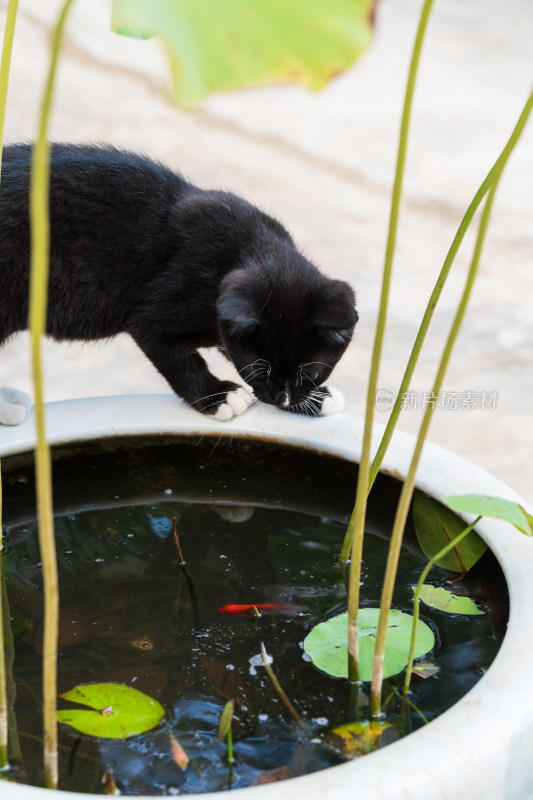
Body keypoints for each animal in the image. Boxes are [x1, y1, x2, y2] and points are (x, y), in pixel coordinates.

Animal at [1, 144, 358, 418]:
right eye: (258, 369)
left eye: (311, 373)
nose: (281, 399)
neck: (255, 244)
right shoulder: (154, 314)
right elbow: (181, 361)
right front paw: (218, 397)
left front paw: (318, 398)